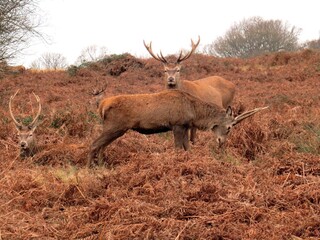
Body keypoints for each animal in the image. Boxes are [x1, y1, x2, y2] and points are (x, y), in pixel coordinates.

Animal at [88, 89, 268, 166]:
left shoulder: (185, 126)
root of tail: (102, 106)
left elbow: (187, 148)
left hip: (116, 129)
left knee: (102, 146)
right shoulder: (177, 124)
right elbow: (177, 148)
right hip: (115, 126)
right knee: (94, 144)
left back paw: (102, 165)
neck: (194, 113)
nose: (221, 143)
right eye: (230, 127)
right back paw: (91, 167)